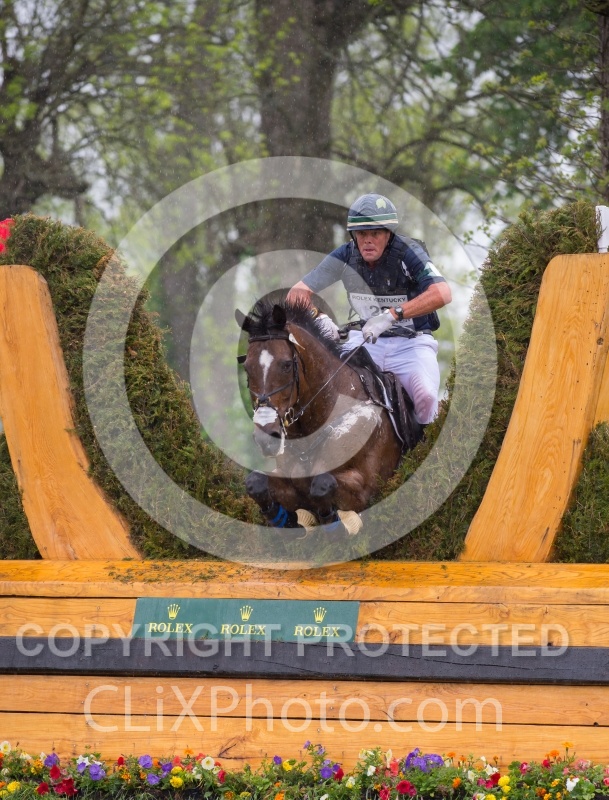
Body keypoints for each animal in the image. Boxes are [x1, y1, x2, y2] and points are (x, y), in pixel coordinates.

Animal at [236, 294, 419, 534]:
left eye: (286, 365)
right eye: (247, 368)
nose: (267, 438)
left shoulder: (368, 485)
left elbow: (322, 483)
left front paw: (334, 521)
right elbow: (255, 481)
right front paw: (287, 520)